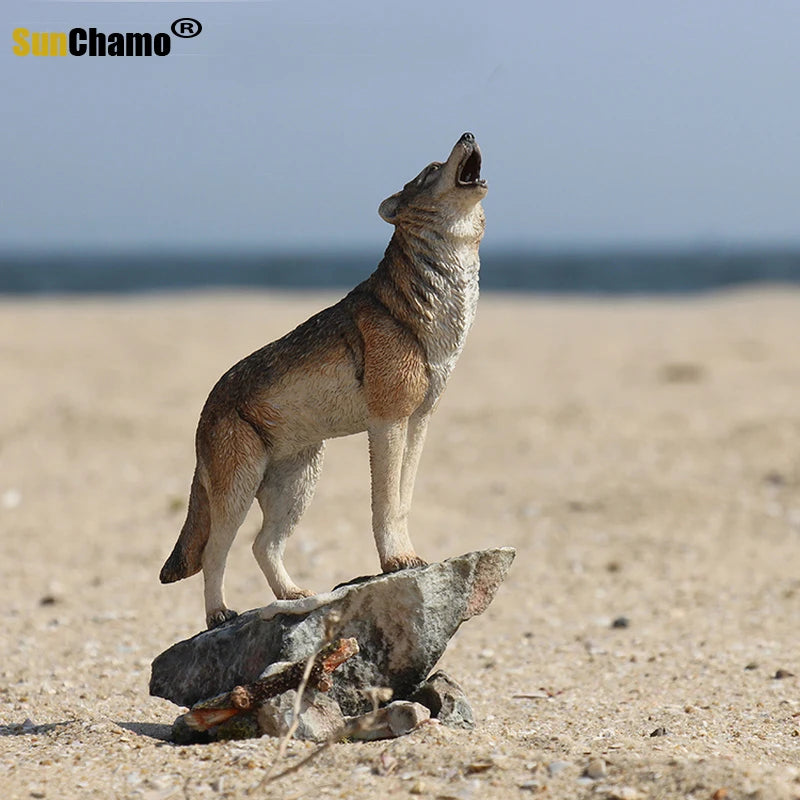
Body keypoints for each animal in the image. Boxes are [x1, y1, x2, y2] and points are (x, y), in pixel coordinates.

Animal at [160, 132, 488, 628]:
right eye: (432, 168)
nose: (468, 134)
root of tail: (207, 407)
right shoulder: (386, 422)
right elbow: (384, 503)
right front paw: (395, 562)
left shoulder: (419, 420)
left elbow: (403, 501)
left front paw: (408, 555)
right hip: (239, 490)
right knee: (218, 550)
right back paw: (219, 614)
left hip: (298, 484)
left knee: (262, 545)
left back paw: (292, 596)